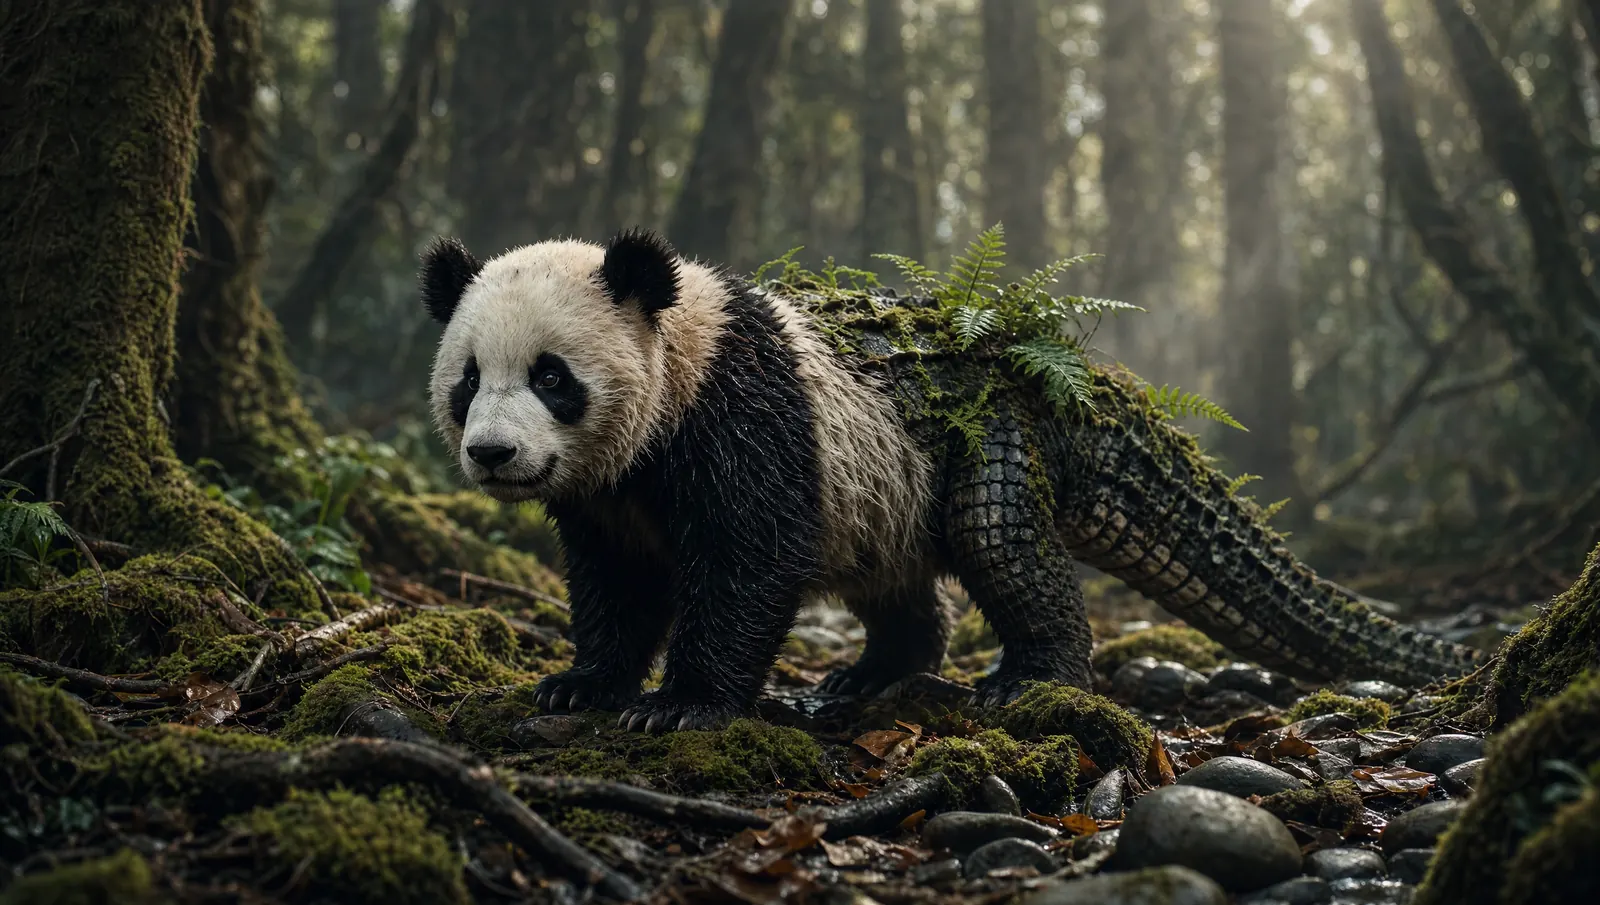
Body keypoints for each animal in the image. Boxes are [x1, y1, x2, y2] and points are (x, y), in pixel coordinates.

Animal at [422, 228, 1093, 731]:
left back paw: (1032, 675)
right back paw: (876, 671)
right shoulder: (609, 493)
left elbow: (749, 553)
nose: (492, 453)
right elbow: (617, 574)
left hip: (980, 432)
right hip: (885, 492)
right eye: (470, 380)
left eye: (551, 378)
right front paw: (580, 685)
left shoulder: (744, 411)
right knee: (892, 574)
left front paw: (680, 705)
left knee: (997, 536)